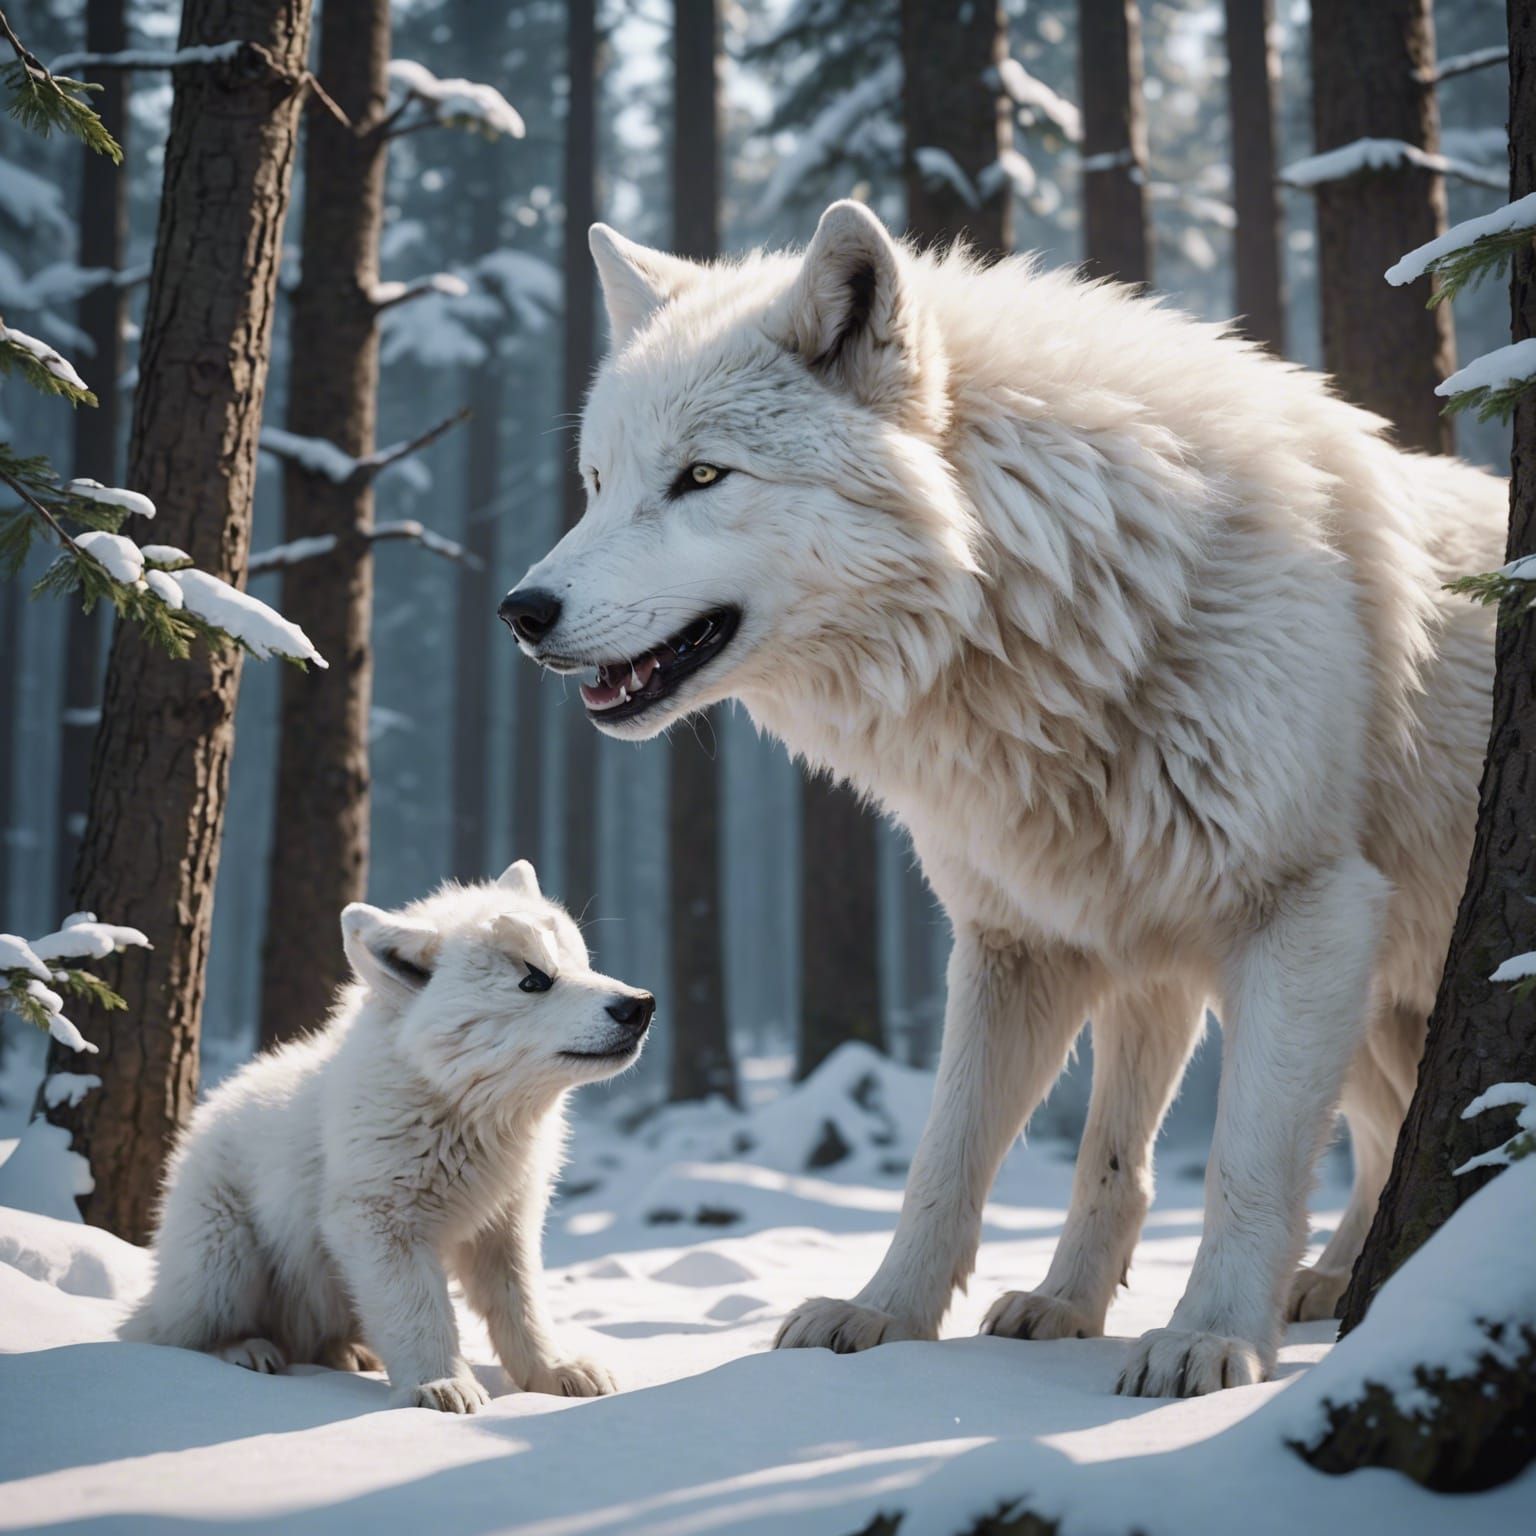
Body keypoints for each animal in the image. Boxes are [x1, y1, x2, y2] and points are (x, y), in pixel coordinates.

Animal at [123, 862, 654, 1411]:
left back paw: (350, 1354)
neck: (465, 1112)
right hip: (223, 1261)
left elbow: (523, 1309)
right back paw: (243, 1349)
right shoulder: (380, 1222)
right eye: (534, 979)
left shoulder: (506, 1226)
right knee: (169, 1333)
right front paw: (440, 1385)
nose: (641, 1005)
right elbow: (421, 1312)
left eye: (583, 962)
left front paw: (556, 1373)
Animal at [500, 200, 1503, 1396]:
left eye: (702, 477)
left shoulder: (1302, 910)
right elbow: (982, 1158)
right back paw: (1322, 1281)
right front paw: (901, 1314)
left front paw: (1208, 1337)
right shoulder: (1045, 942)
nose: (521, 609)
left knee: (1375, 1136)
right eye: (598, 482)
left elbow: (1243, 1163)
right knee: (1383, 1129)